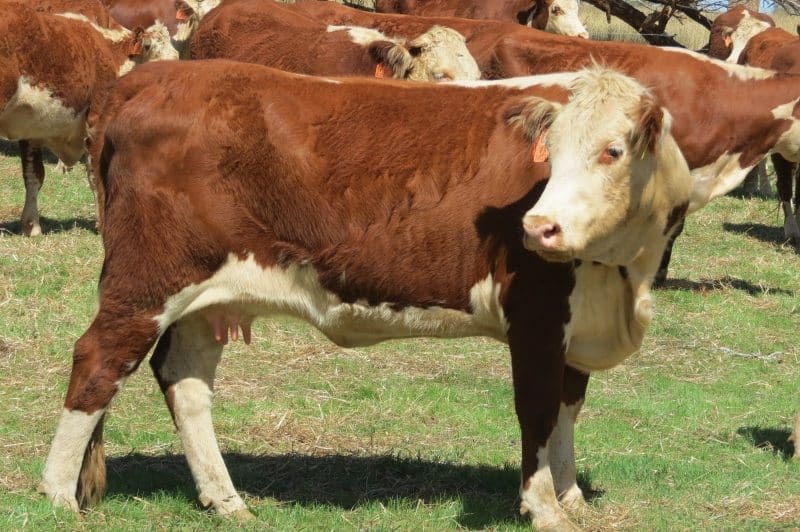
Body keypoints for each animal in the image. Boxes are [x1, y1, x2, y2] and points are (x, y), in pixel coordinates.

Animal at [0, 1, 178, 235]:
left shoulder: (32, 127)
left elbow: (33, 175)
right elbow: (95, 175)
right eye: (154, 58)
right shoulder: (98, 121)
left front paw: (32, 226)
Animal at [37, 61, 692, 528]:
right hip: (148, 279)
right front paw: (544, 508)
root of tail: (147, 77)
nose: (539, 228)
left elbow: (567, 406)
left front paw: (571, 493)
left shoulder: (577, 322)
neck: (624, 274)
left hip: (206, 296)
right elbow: (537, 407)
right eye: (548, 156)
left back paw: (226, 500)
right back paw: (57, 496)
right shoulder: (535, 312)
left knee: (186, 381)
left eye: (611, 150)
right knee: (98, 361)